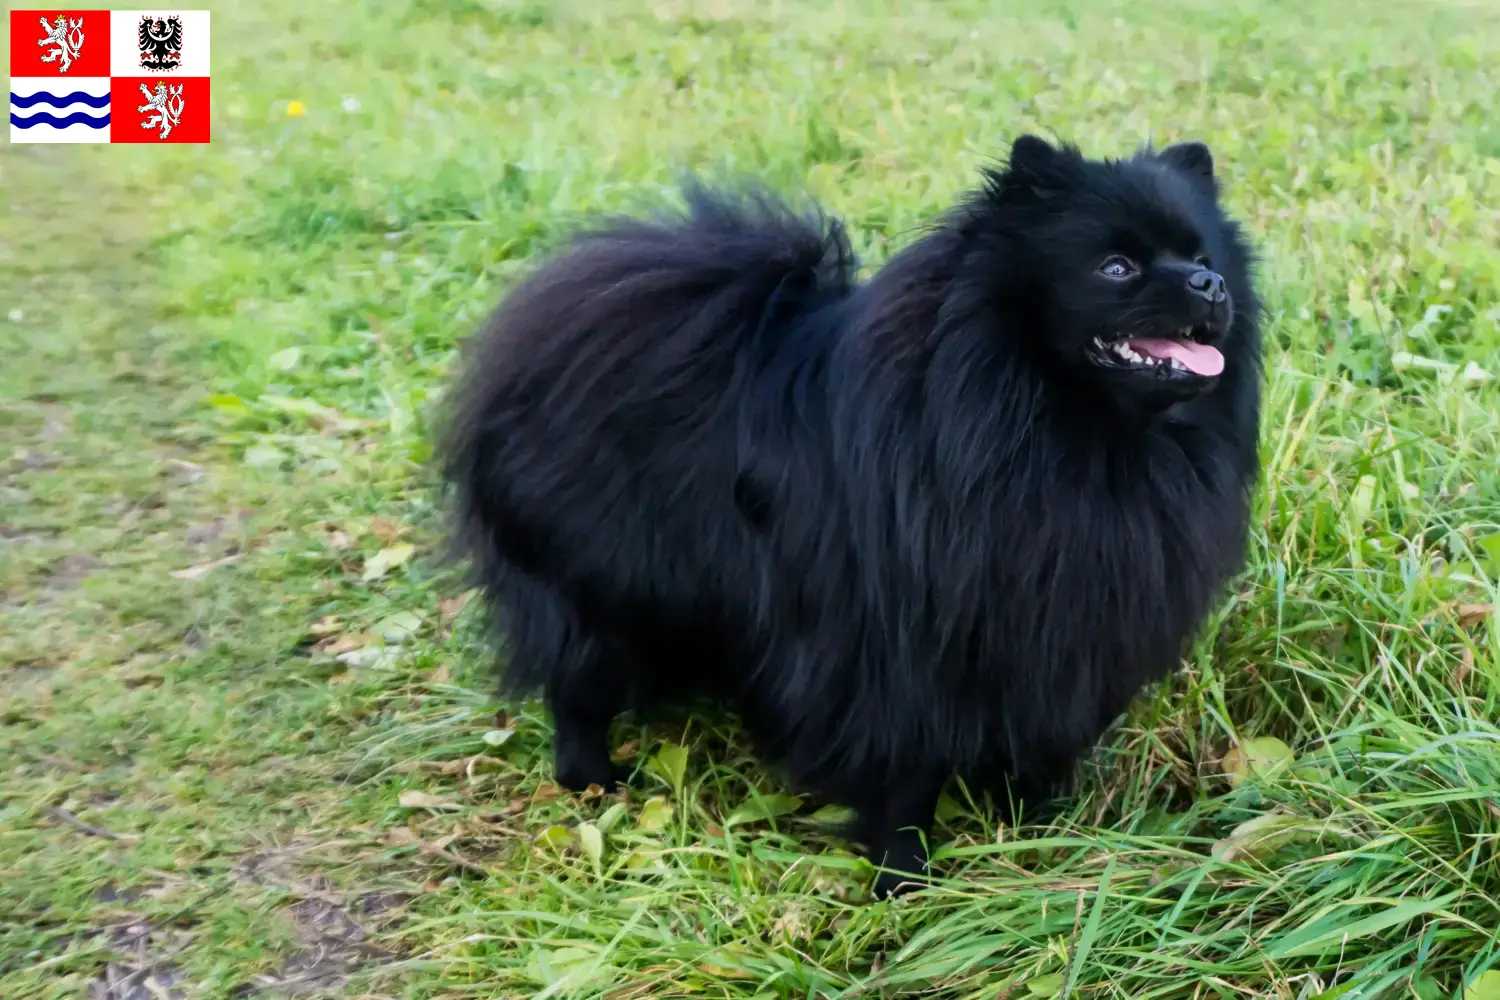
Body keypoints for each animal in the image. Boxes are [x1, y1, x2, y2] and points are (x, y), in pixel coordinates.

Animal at [438, 134, 1260, 899]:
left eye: (1201, 254)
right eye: (1115, 267)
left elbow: (1037, 744)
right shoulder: (890, 653)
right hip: (602, 593)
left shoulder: (1054, 637)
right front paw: (904, 876)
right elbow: (903, 774)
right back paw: (592, 778)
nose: (1209, 282)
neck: (1063, 436)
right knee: (575, 686)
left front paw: (1036, 829)